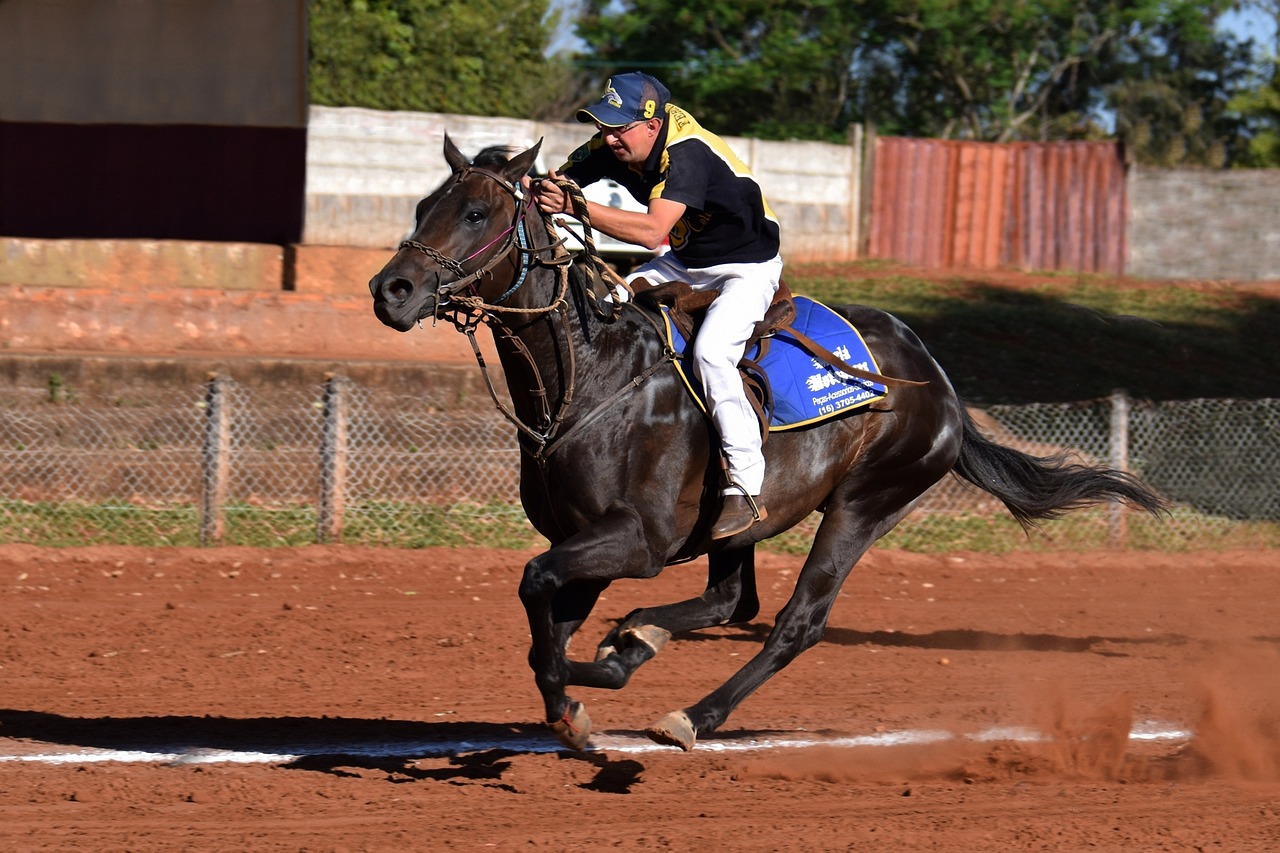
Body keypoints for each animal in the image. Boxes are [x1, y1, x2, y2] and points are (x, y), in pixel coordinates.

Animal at [366, 134, 1167, 753]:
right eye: (422, 208)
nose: (391, 289)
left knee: (794, 622)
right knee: (732, 598)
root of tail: (941, 386)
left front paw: (583, 686)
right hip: (740, 520)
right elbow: (551, 623)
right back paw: (640, 642)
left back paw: (692, 713)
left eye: (476, 212)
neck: (590, 378)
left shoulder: (637, 539)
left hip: (865, 503)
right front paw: (580, 694)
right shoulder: (586, 535)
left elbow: (539, 592)